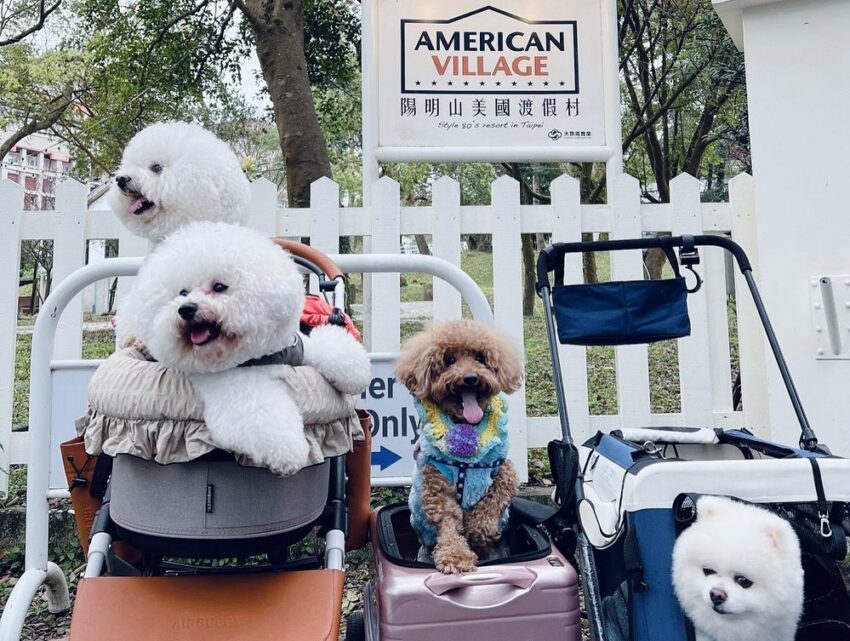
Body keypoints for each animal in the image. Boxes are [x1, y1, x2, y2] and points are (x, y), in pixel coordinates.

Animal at [131, 220, 370, 476]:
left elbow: (328, 347)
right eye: (182, 292)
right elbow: (260, 416)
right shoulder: (236, 386)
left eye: (219, 287)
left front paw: (356, 373)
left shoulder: (297, 348)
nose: (186, 309)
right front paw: (289, 453)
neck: (257, 356)